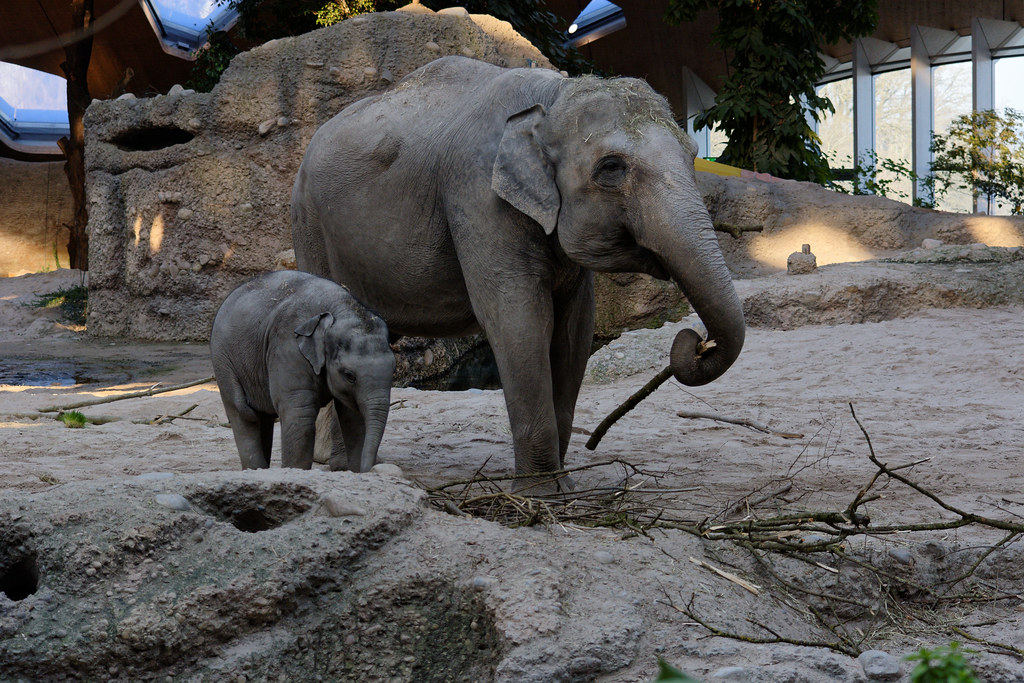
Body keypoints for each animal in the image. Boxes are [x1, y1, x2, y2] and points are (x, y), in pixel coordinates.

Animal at [210, 270, 395, 472]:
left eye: (393, 371)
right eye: (350, 376)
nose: (369, 468)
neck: (340, 309)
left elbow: (353, 418)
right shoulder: (287, 345)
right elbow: (300, 411)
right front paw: (295, 471)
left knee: (263, 418)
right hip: (223, 360)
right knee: (243, 412)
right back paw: (255, 469)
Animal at [291, 56, 745, 485]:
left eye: (693, 157)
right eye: (612, 168)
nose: (696, 340)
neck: (554, 95)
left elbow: (575, 328)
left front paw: (564, 487)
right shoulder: (478, 196)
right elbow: (519, 320)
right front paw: (541, 492)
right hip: (309, 224)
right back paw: (338, 466)